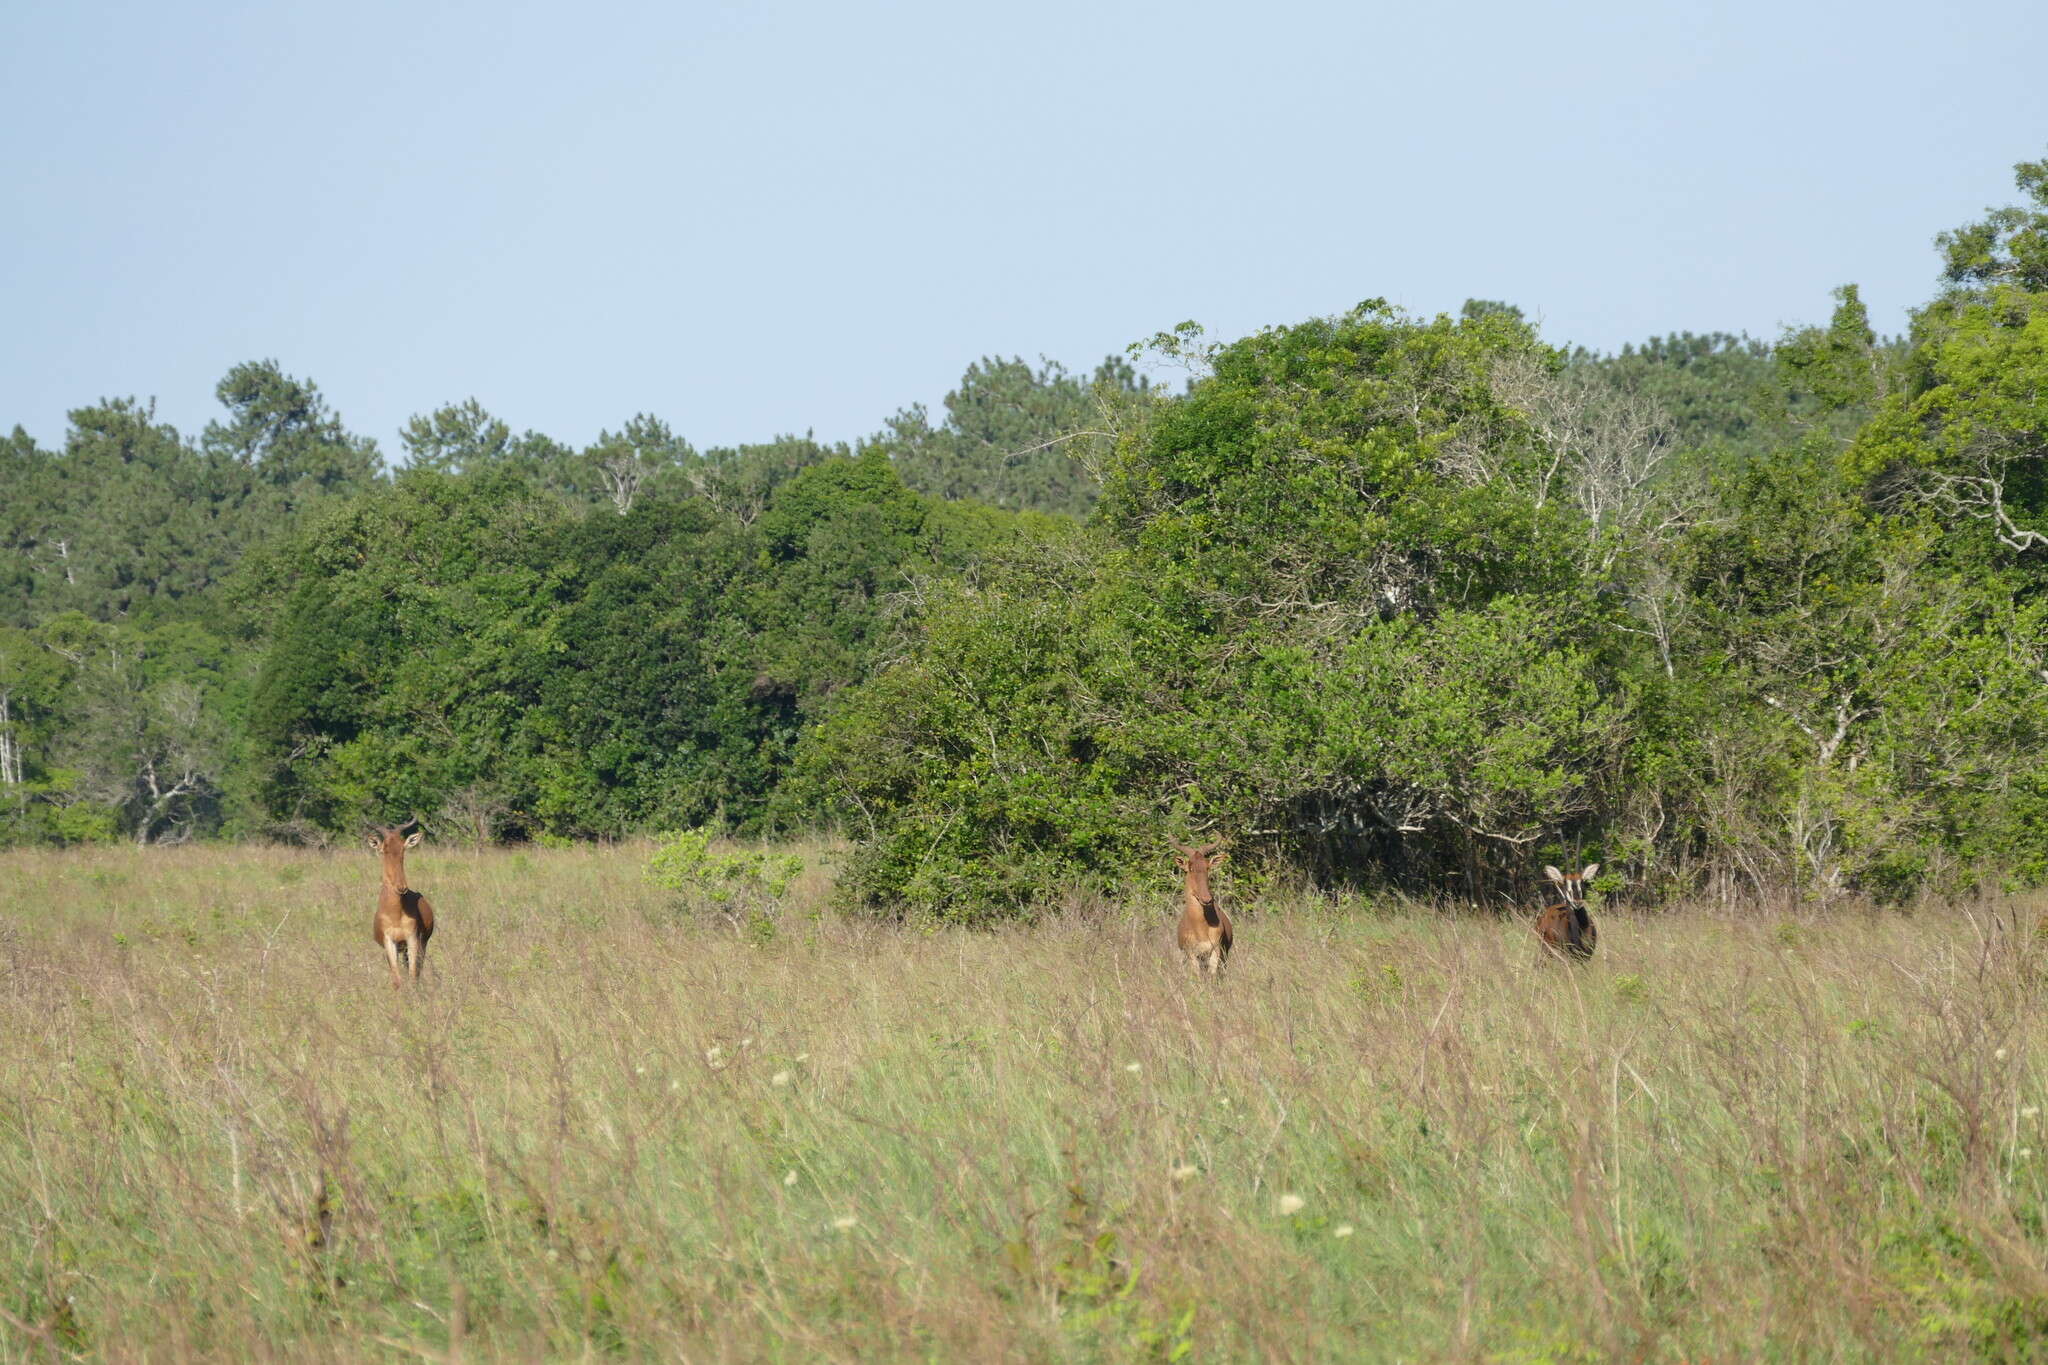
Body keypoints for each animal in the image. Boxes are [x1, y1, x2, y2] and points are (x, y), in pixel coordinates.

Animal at [366, 818, 434, 986]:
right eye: (384, 850)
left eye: (403, 848)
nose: (402, 887)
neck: (395, 913)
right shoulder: (389, 943)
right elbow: (397, 980)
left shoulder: (412, 940)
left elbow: (413, 976)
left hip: (421, 944)